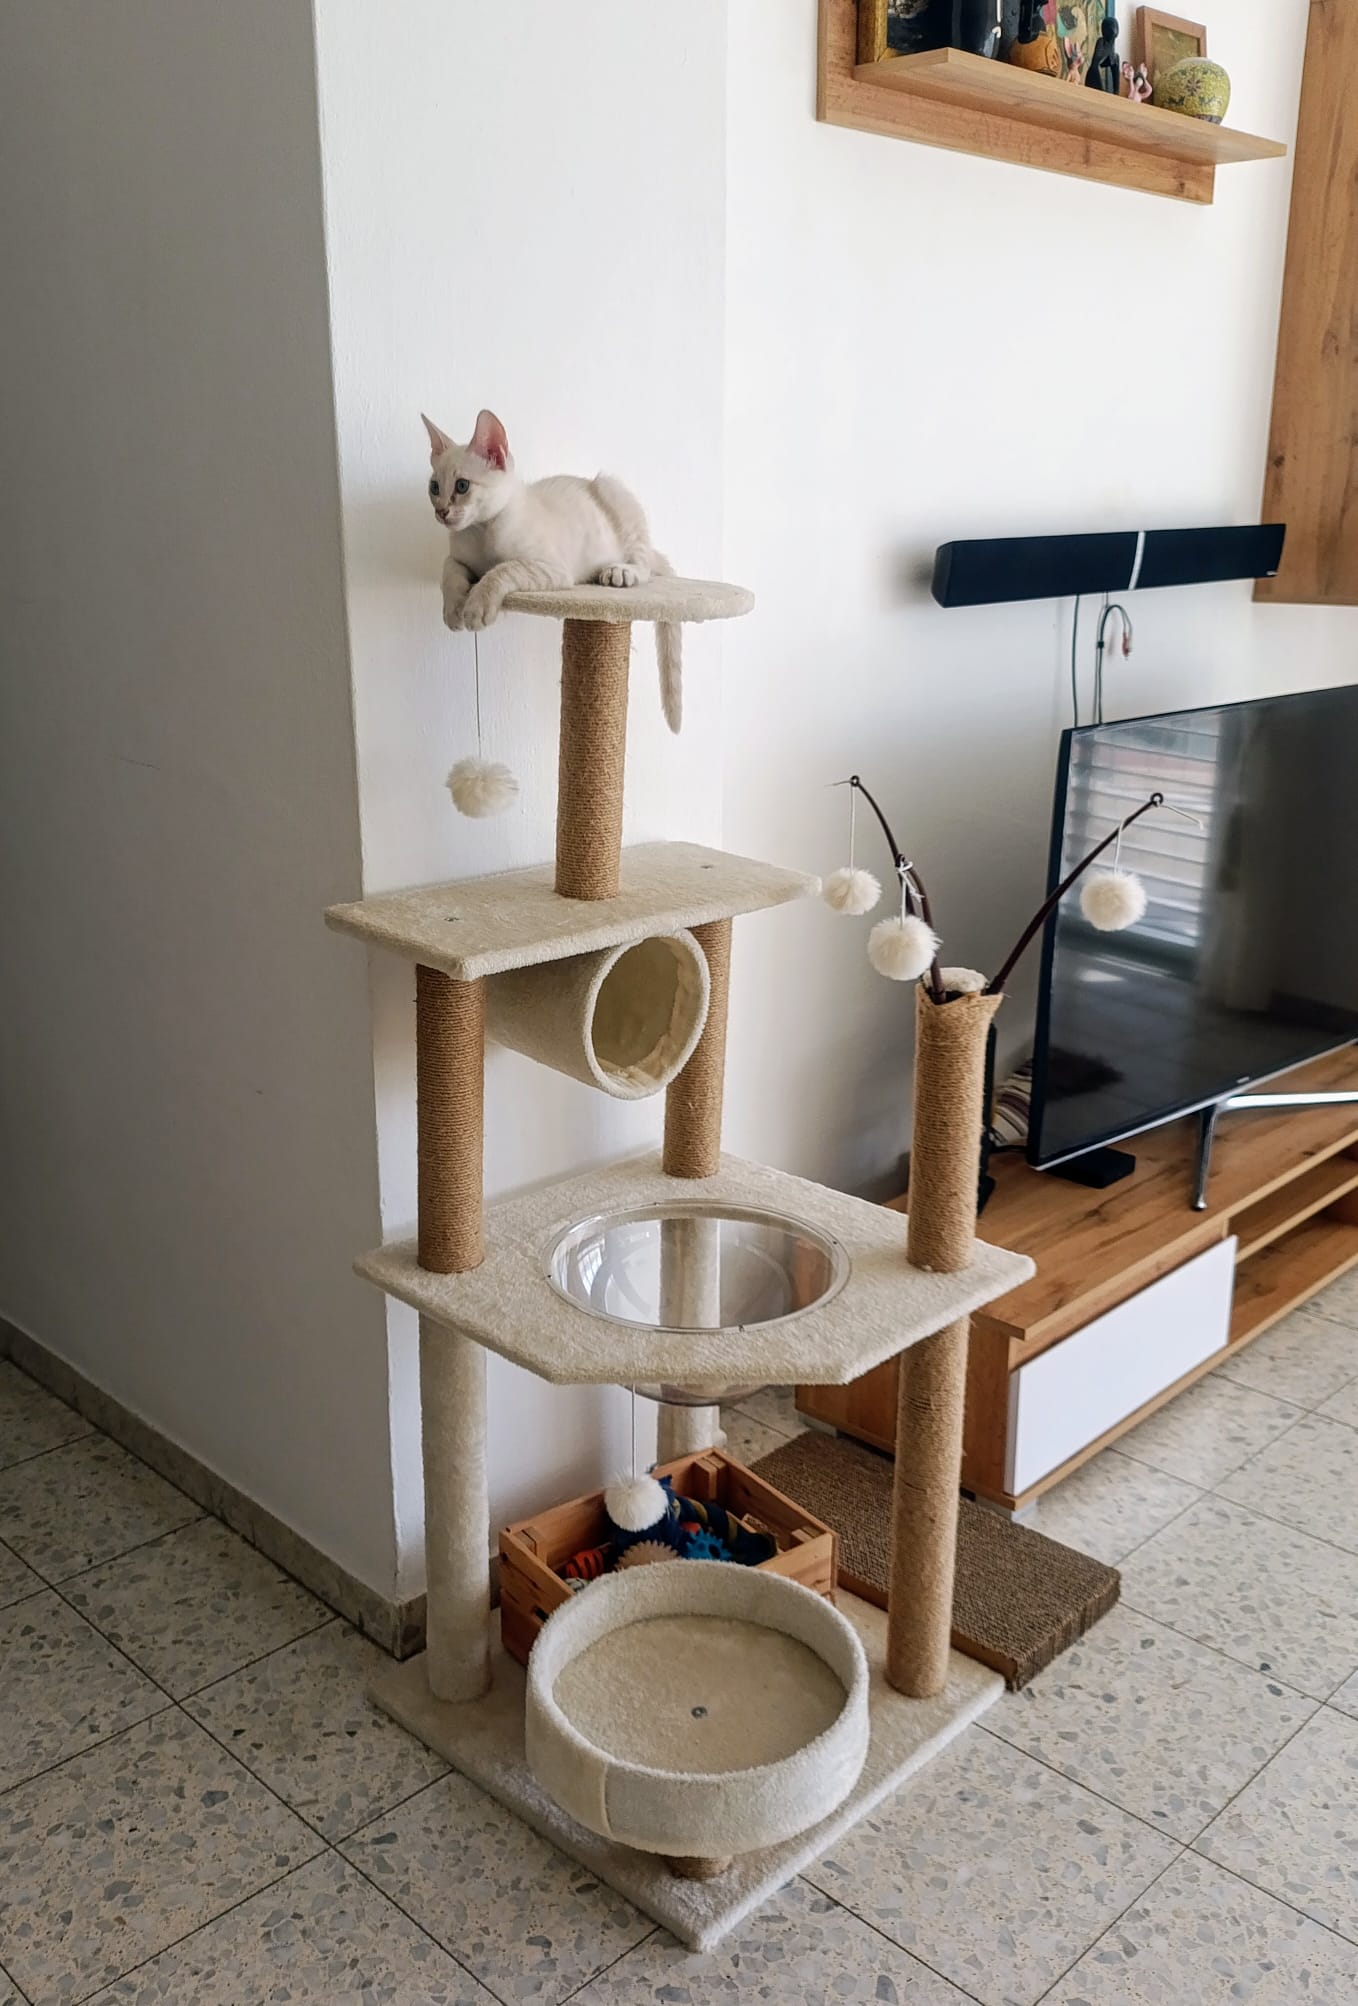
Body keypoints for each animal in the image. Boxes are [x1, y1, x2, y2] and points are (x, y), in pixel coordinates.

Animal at [422, 409, 684, 732]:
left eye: (462, 486)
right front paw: (453, 609)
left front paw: (476, 607)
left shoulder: (552, 568)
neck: (479, 531)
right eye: (434, 487)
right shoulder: (457, 558)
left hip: (612, 490)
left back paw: (621, 572)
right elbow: (449, 572)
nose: (441, 512)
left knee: (644, 562)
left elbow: (502, 569)